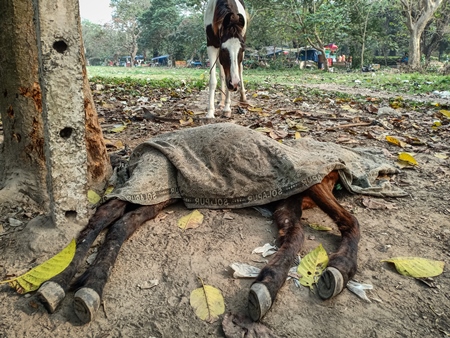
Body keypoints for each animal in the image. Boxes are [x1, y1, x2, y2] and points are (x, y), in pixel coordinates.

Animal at [37, 123, 362, 324]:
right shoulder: (306, 182)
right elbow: (350, 222)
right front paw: (340, 268)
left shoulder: (293, 196)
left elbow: (297, 235)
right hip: (154, 179)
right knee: (107, 216)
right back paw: (63, 285)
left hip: (162, 191)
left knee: (119, 223)